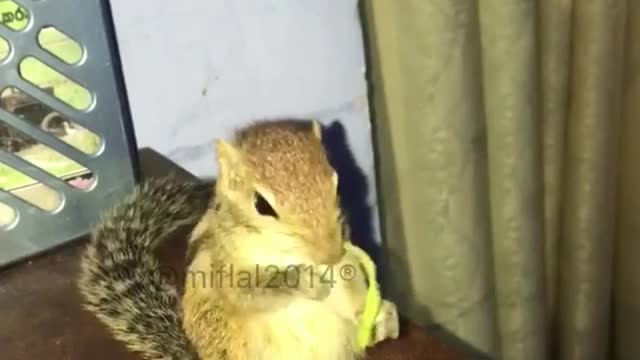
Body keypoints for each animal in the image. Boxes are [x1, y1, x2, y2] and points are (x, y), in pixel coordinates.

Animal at [77, 119, 400, 360]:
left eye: (336, 184)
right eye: (261, 205)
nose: (329, 255)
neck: (292, 256)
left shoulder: (344, 263)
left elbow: (350, 295)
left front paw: (384, 316)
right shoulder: (225, 271)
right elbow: (252, 292)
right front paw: (302, 281)